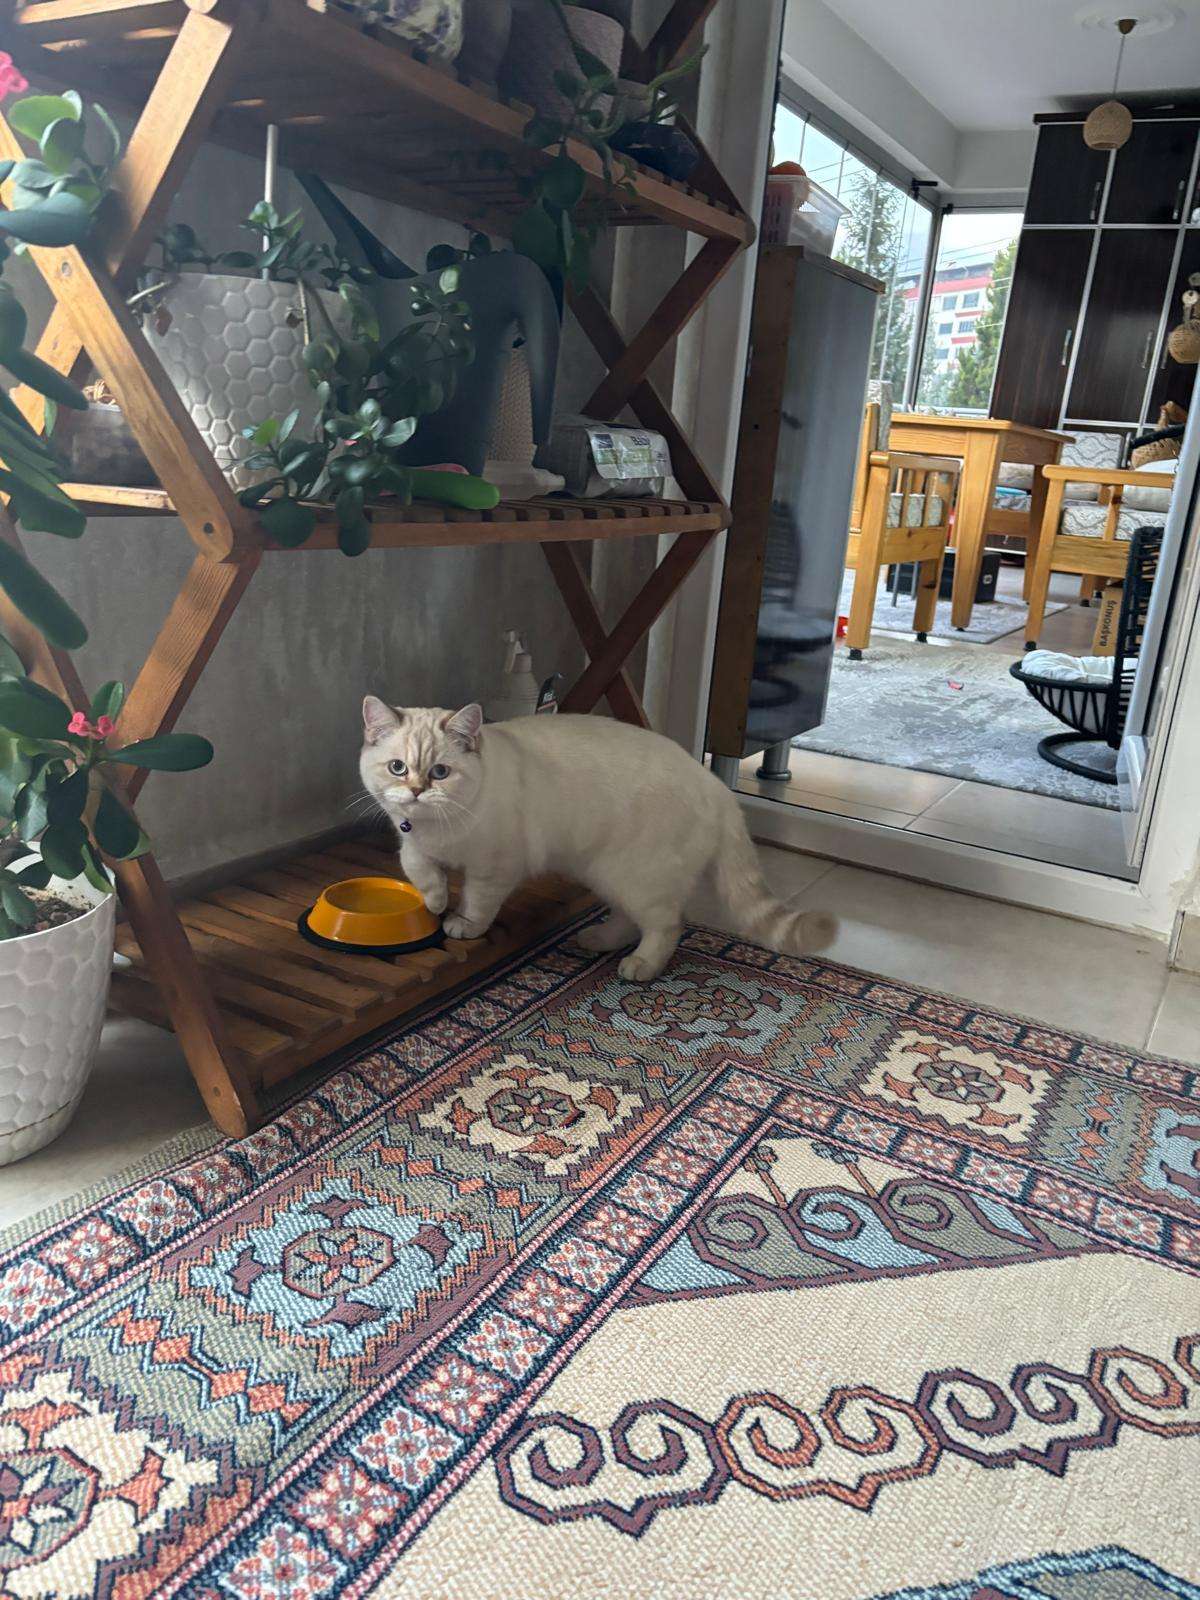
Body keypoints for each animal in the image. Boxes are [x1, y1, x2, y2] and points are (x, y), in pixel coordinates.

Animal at [359, 699, 835, 982]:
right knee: (627, 920)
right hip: (606, 873)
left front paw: (461, 924)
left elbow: (477, 903)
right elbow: (420, 870)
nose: (417, 791)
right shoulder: (411, 841)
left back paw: (640, 966)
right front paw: (436, 901)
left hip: (636, 877)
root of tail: (715, 784)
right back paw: (598, 940)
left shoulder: (495, 868)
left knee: (666, 926)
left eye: (440, 772)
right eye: (398, 768)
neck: (439, 828)